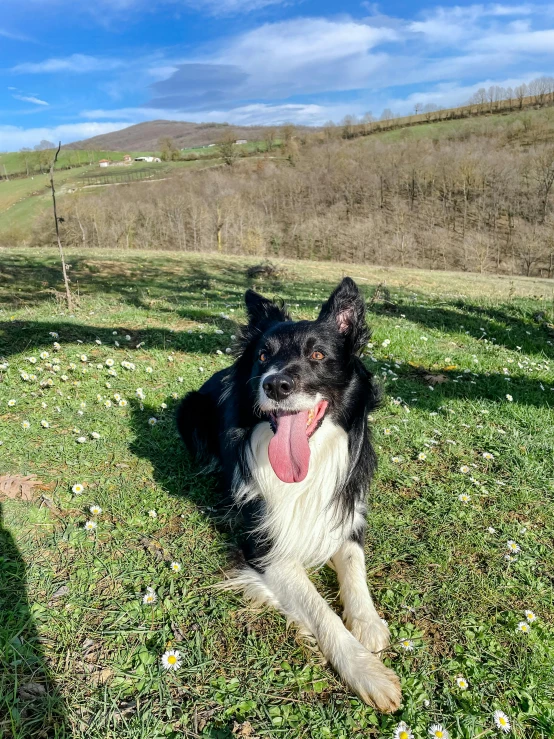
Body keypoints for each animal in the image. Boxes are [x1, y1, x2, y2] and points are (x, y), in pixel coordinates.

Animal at [175, 276, 398, 712]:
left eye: (317, 354)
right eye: (264, 355)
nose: (275, 384)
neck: (308, 466)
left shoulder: (346, 512)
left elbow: (354, 564)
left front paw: (368, 622)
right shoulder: (265, 546)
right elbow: (320, 609)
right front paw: (366, 670)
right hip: (188, 408)